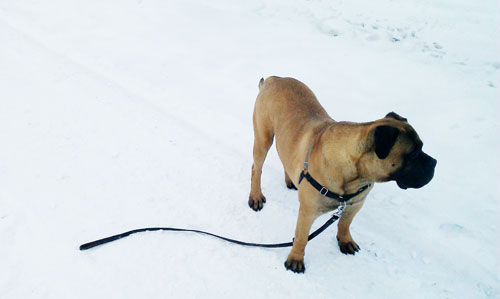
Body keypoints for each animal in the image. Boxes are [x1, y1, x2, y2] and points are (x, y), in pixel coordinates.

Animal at [248, 77, 436, 274]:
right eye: (414, 154)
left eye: (422, 146)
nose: (434, 163)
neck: (355, 175)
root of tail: (275, 79)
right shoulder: (308, 212)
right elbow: (301, 237)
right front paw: (295, 260)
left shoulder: (356, 203)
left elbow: (345, 224)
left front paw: (345, 241)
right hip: (263, 138)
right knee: (256, 169)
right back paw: (256, 196)